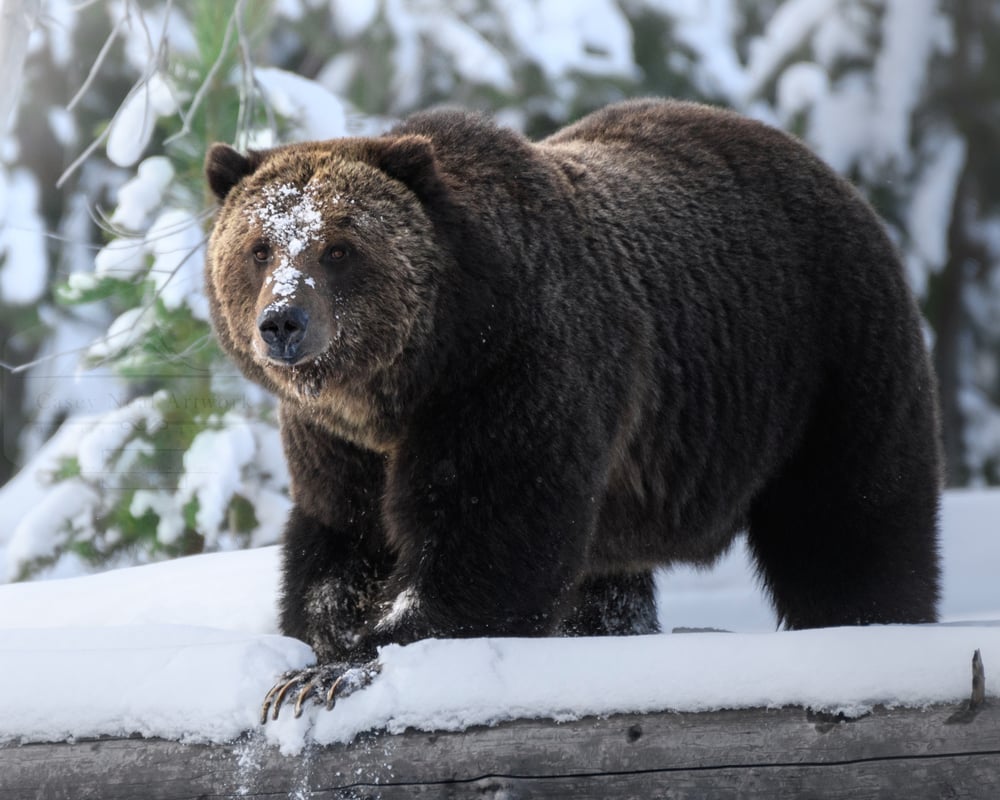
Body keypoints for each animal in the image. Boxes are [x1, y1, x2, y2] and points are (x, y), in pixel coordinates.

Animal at [203, 98, 942, 721]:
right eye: (259, 247)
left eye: (338, 247)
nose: (283, 322)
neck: (416, 376)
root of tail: (824, 169)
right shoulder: (338, 444)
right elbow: (342, 544)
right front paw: (319, 650)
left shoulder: (517, 373)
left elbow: (488, 537)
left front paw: (343, 667)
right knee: (612, 586)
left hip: (827, 360)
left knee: (850, 523)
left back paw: (871, 626)